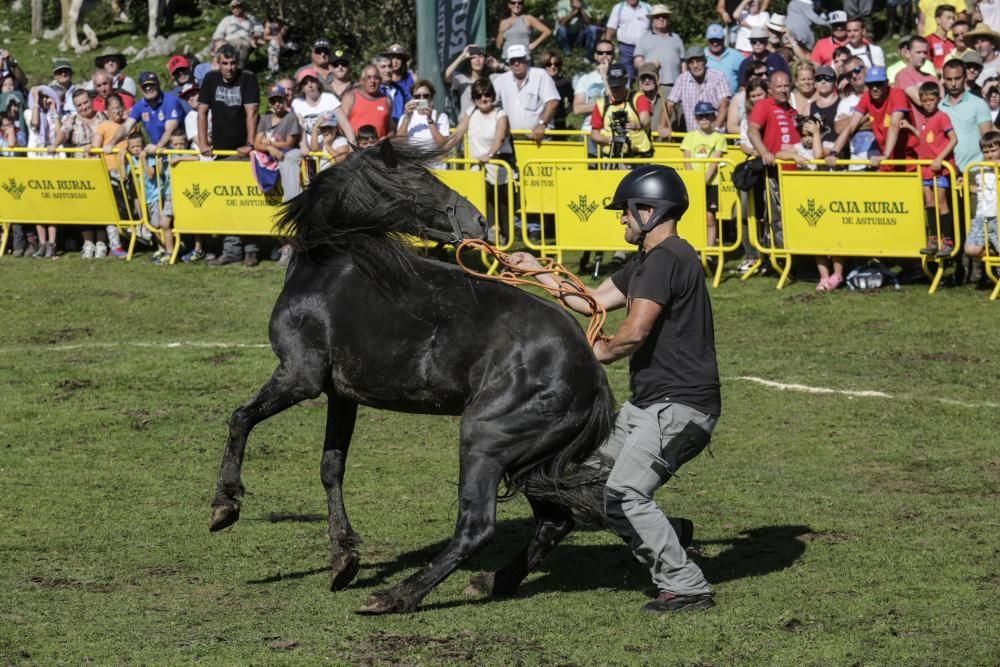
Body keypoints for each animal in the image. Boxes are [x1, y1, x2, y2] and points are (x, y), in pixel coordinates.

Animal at [207, 142, 612, 616]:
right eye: (419, 178)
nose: (479, 221)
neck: (329, 265)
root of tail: (591, 372)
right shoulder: (341, 396)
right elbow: (331, 467)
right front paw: (343, 558)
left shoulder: (298, 377)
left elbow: (240, 418)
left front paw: (225, 506)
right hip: (531, 461)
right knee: (554, 522)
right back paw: (492, 581)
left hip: (486, 443)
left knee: (477, 528)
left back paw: (397, 596)